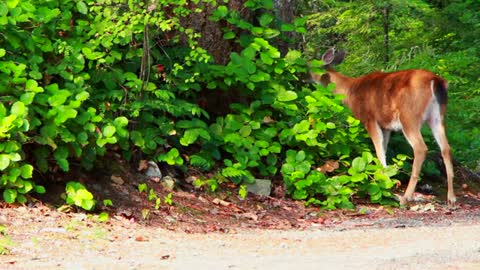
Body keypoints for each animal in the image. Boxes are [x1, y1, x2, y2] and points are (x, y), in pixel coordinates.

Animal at [314, 48, 456, 207]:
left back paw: (405, 198)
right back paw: (451, 198)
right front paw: (386, 179)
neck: (349, 91)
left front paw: (383, 182)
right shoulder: (386, 126)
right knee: (446, 148)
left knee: (420, 148)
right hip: (437, 117)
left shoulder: (369, 119)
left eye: (310, 64)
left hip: (409, 117)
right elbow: (384, 148)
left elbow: (379, 150)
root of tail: (436, 81)